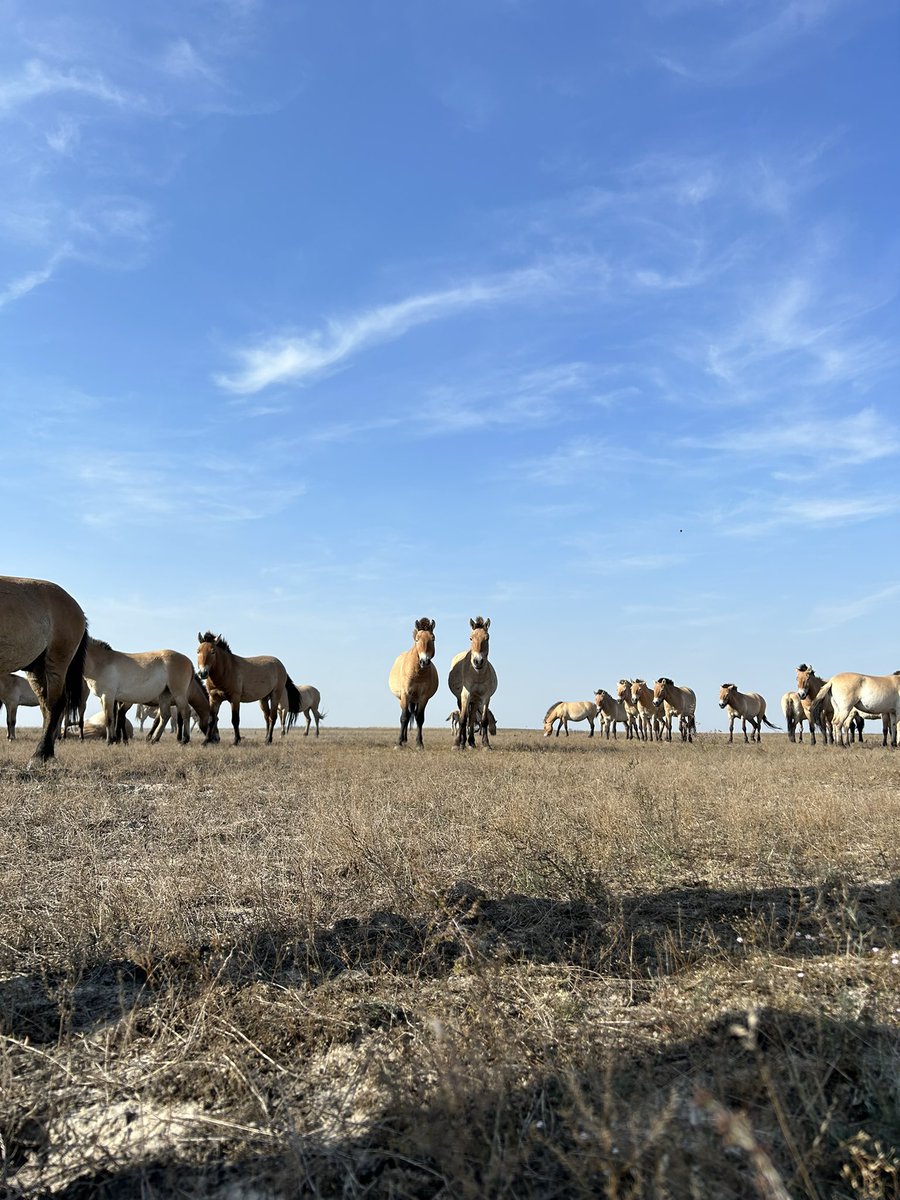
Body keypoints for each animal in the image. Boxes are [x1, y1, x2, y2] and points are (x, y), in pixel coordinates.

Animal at [0, 576, 88, 762]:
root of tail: (78, 610)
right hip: (37, 669)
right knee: (46, 707)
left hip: (57, 662)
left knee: (56, 704)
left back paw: (40, 754)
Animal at [449, 617, 498, 750]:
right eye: (471, 638)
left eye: (487, 638)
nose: (478, 661)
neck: (477, 675)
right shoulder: (466, 696)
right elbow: (462, 719)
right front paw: (457, 744)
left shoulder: (486, 697)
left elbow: (483, 721)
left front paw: (486, 745)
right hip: (461, 699)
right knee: (465, 718)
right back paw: (461, 742)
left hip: (475, 700)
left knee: (471, 719)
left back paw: (471, 742)